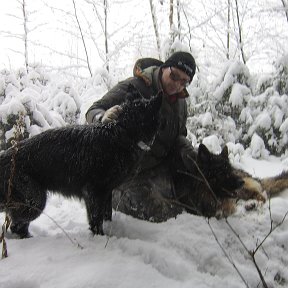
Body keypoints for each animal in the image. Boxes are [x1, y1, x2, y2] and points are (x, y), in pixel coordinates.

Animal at [0, 87, 162, 236]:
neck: (122, 132)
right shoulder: (93, 192)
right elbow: (96, 220)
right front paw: (99, 238)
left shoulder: (106, 191)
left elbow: (107, 214)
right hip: (35, 202)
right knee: (16, 225)